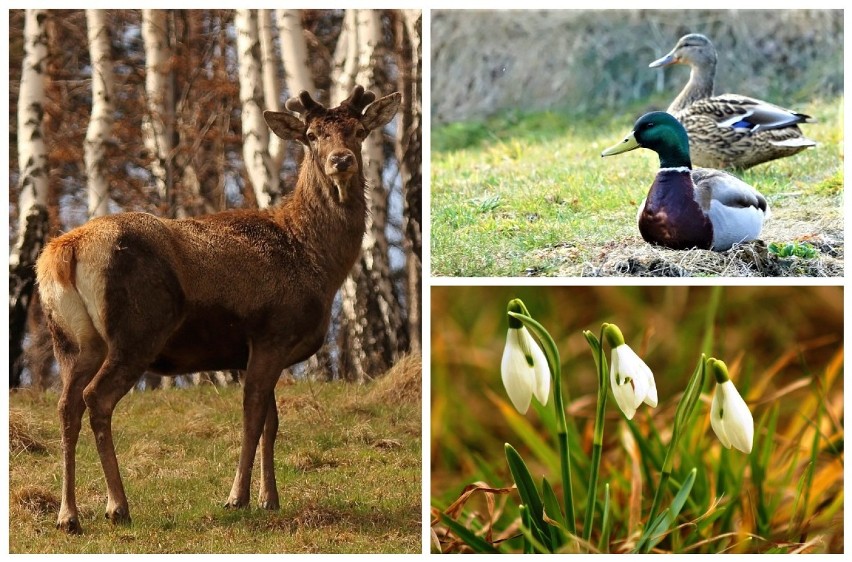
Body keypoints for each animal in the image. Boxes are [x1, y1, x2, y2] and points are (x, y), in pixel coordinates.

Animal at [36, 85, 402, 532]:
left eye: (359, 131)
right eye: (312, 135)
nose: (341, 160)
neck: (317, 261)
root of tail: (65, 252)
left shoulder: (257, 349)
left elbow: (272, 422)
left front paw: (270, 499)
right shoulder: (273, 332)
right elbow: (252, 416)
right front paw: (237, 498)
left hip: (73, 342)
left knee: (66, 406)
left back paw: (67, 515)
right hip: (137, 331)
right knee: (97, 399)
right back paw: (117, 506)